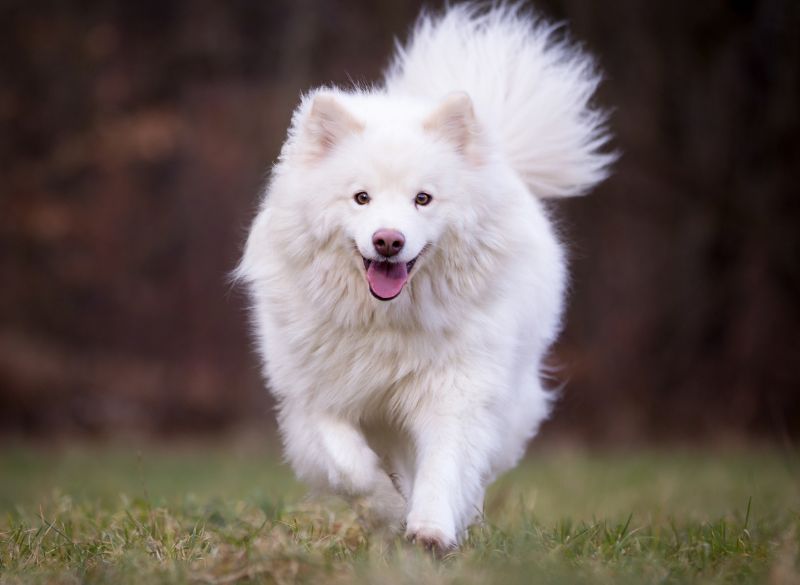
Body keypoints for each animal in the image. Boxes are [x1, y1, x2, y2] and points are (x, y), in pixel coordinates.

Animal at [236, 4, 612, 548]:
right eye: (361, 197)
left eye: (423, 198)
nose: (388, 241)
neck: (386, 320)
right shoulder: (315, 398)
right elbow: (350, 466)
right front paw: (390, 510)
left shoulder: (455, 390)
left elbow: (444, 464)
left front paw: (431, 528)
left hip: (510, 396)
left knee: (477, 466)